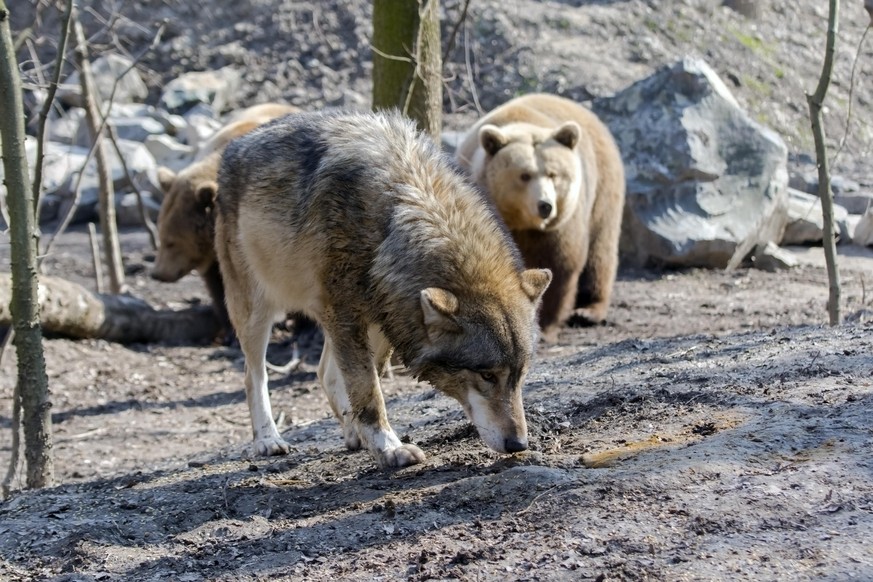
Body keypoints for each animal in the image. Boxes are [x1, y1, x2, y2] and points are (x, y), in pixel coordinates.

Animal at [151, 100, 300, 338]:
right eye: (162, 236)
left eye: (171, 241)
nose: (157, 273)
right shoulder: (219, 251)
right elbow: (221, 286)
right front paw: (230, 329)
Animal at [215, 112, 548, 472]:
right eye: (486, 375)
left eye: (520, 375)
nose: (518, 444)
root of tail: (235, 145)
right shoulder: (345, 315)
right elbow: (370, 392)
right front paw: (390, 449)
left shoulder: (380, 313)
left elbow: (361, 385)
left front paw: (375, 440)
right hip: (258, 311)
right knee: (254, 376)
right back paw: (267, 440)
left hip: (372, 324)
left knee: (325, 373)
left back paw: (353, 434)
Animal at [456, 93, 628, 342]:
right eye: (524, 175)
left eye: (553, 174)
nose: (545, 205)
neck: (521, 223)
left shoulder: (560, 225)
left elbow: (558, 264)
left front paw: (544, 326)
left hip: (603, 192)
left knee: (601, 251)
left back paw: (588, 311)